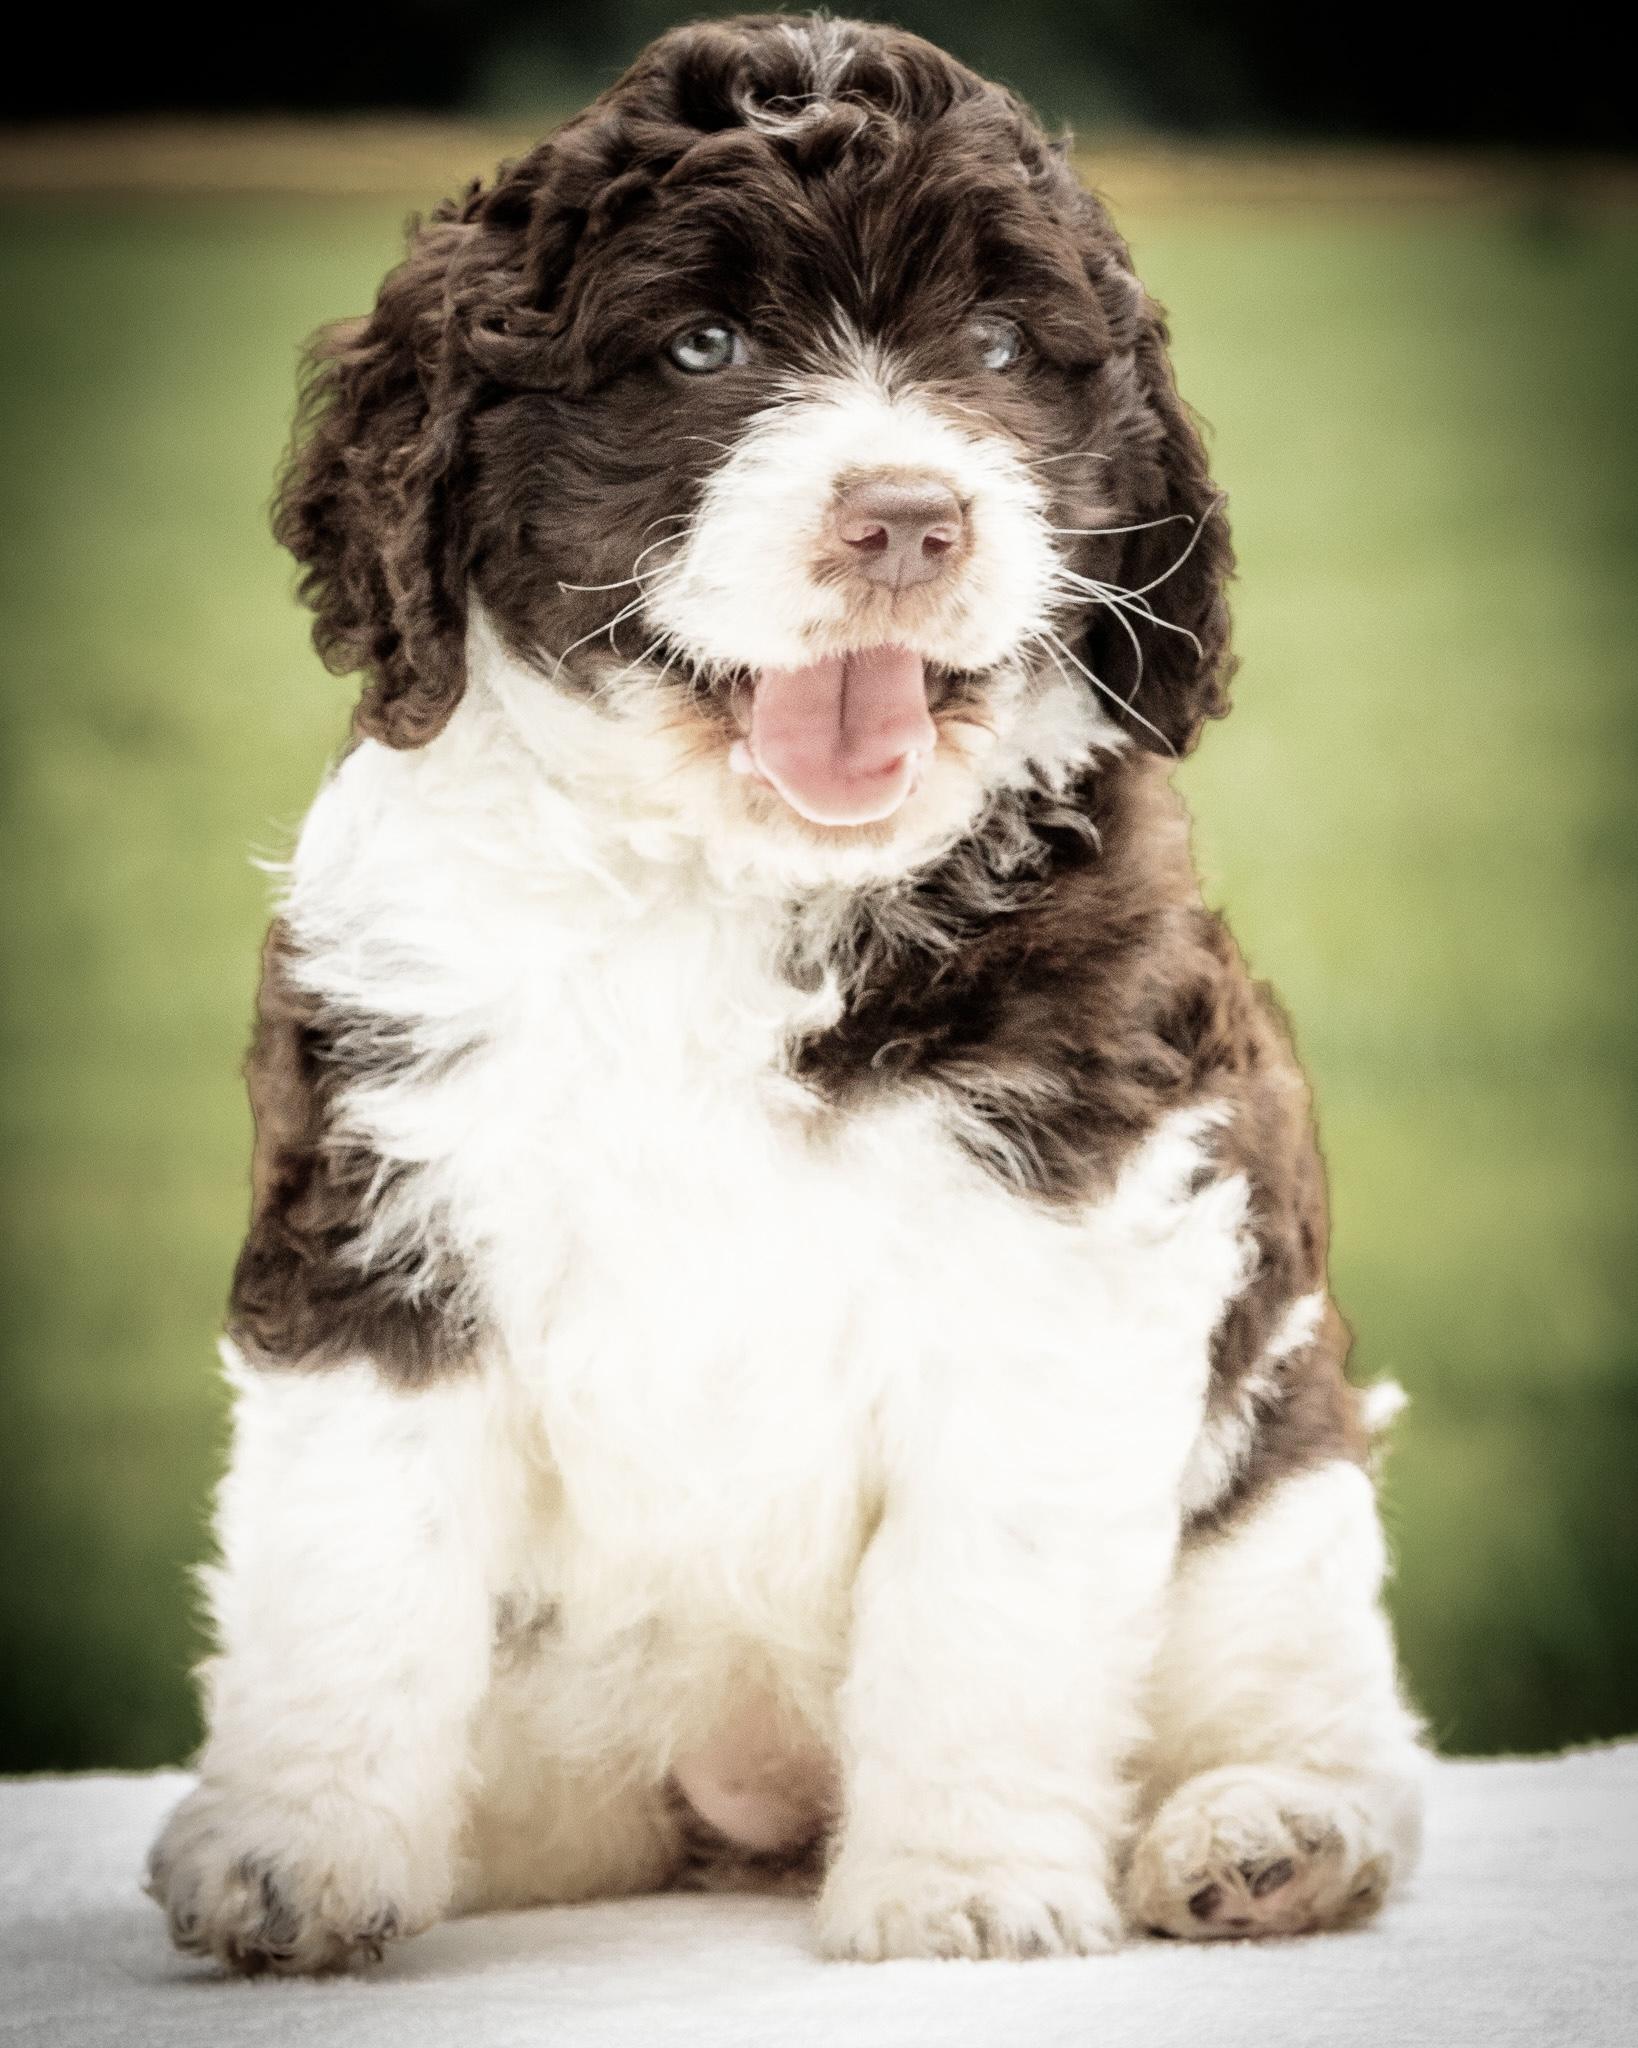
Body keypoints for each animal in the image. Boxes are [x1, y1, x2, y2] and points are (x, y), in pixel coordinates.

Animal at [146, 13, 1425, 1973]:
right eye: (701, 349)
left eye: (997, 350)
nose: (903, 517)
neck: (727, 883)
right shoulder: (380, 1208)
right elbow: (342, 1557)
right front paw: (293, 1850)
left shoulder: (1070, 1240)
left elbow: (985, 1596)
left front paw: (962, 1886)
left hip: (1275, 1478)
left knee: (1318, 1689)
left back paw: (1274, 1827)